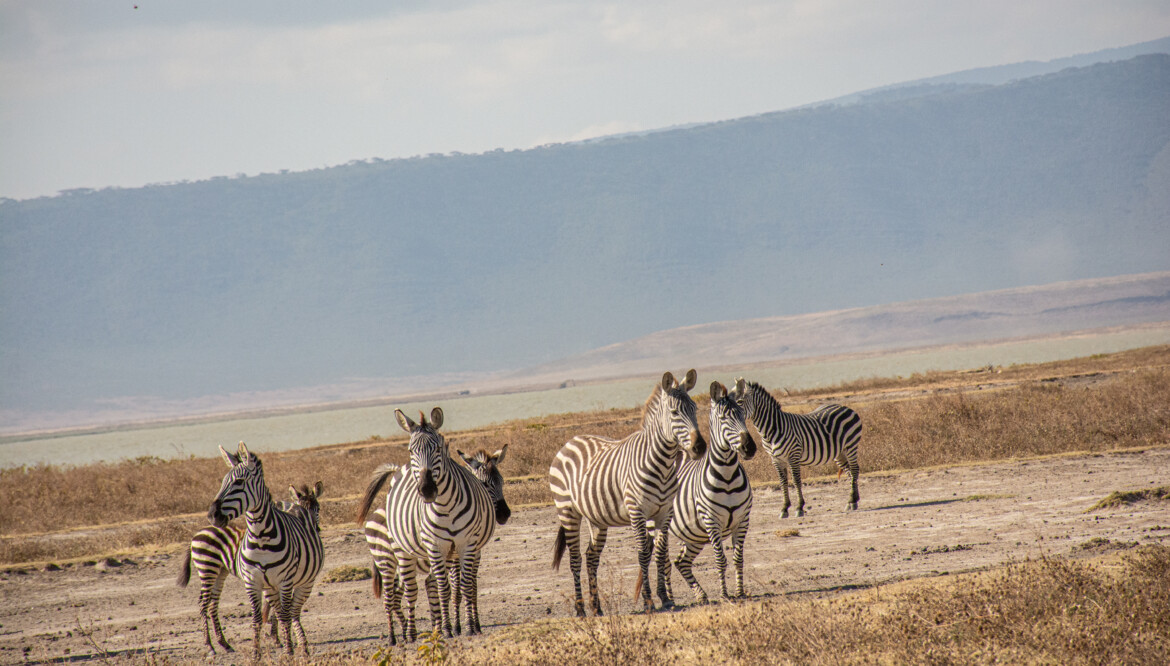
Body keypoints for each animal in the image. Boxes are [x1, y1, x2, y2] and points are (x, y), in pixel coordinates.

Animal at [175, 479, 320, 650]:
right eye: (301, 510)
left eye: (317, 508)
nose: (315, 528)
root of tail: (195, 535)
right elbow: (275, 608)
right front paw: (277, 638)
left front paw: (281, 636)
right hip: (207, 568)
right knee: (203, 604)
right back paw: (209, 645)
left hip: (220, 572)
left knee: (212, 605)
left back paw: (224, 643)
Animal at [355, 407, 503, 636]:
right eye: (410, 450)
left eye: (438, 449)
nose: (427, 489)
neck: (446, 506)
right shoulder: (439, 547)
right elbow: (448, 588)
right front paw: (452, 627)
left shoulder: (466, 545)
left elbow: (465, 586)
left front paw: (467, 626)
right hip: (392, 558)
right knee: (400, 594)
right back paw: (401, 635)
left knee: (402, 594)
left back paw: (413, 630)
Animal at [547, 369, 702, 613]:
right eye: (674, 412)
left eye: (695, 409)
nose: (700, 447)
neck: (662, 464)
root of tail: (571, 441)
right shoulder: (637, 512)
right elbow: (643, 553)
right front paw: (648, 601)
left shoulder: (664, 512)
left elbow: (660, 553)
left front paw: (666, 598)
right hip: (567, 511)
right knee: (575, 559)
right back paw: (580, 609)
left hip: (596, 518)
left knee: (591, 556)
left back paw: (596, 607)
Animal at [669, 379, 758, 603]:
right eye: (723, 418)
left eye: (743, 414)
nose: (749, 448)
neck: (727, 476)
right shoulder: (712, 522)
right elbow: (720, 560)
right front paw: (725, 594)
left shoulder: (742, 520)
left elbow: (737, 559)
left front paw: (740, 592)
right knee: (659, 561)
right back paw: (668, 598)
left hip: (693, 534)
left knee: (680, 561)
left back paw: (700, 595)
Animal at [734, 376, 865, 517]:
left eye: (739, 401)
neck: (772, 429)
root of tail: (845, 407)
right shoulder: (776, 459)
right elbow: (783, 482)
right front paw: (784, 508)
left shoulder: (793, 456)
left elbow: (796, 481)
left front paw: (799, 507)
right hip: (839, 452)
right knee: (849, 471)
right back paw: (853, 500)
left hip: (851, 446)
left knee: (854, 469)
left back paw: (852, 500)